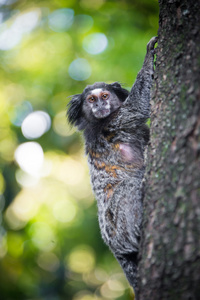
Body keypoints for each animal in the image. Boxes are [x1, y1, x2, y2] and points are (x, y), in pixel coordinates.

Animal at [66, 36, 157, 294]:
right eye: (91, 99)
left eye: (105, 96)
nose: (99, 106)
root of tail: (114, 247)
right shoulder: (116, 123)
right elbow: (138, 107)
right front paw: (149, 56)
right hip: (118, 221)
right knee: (129, 188)